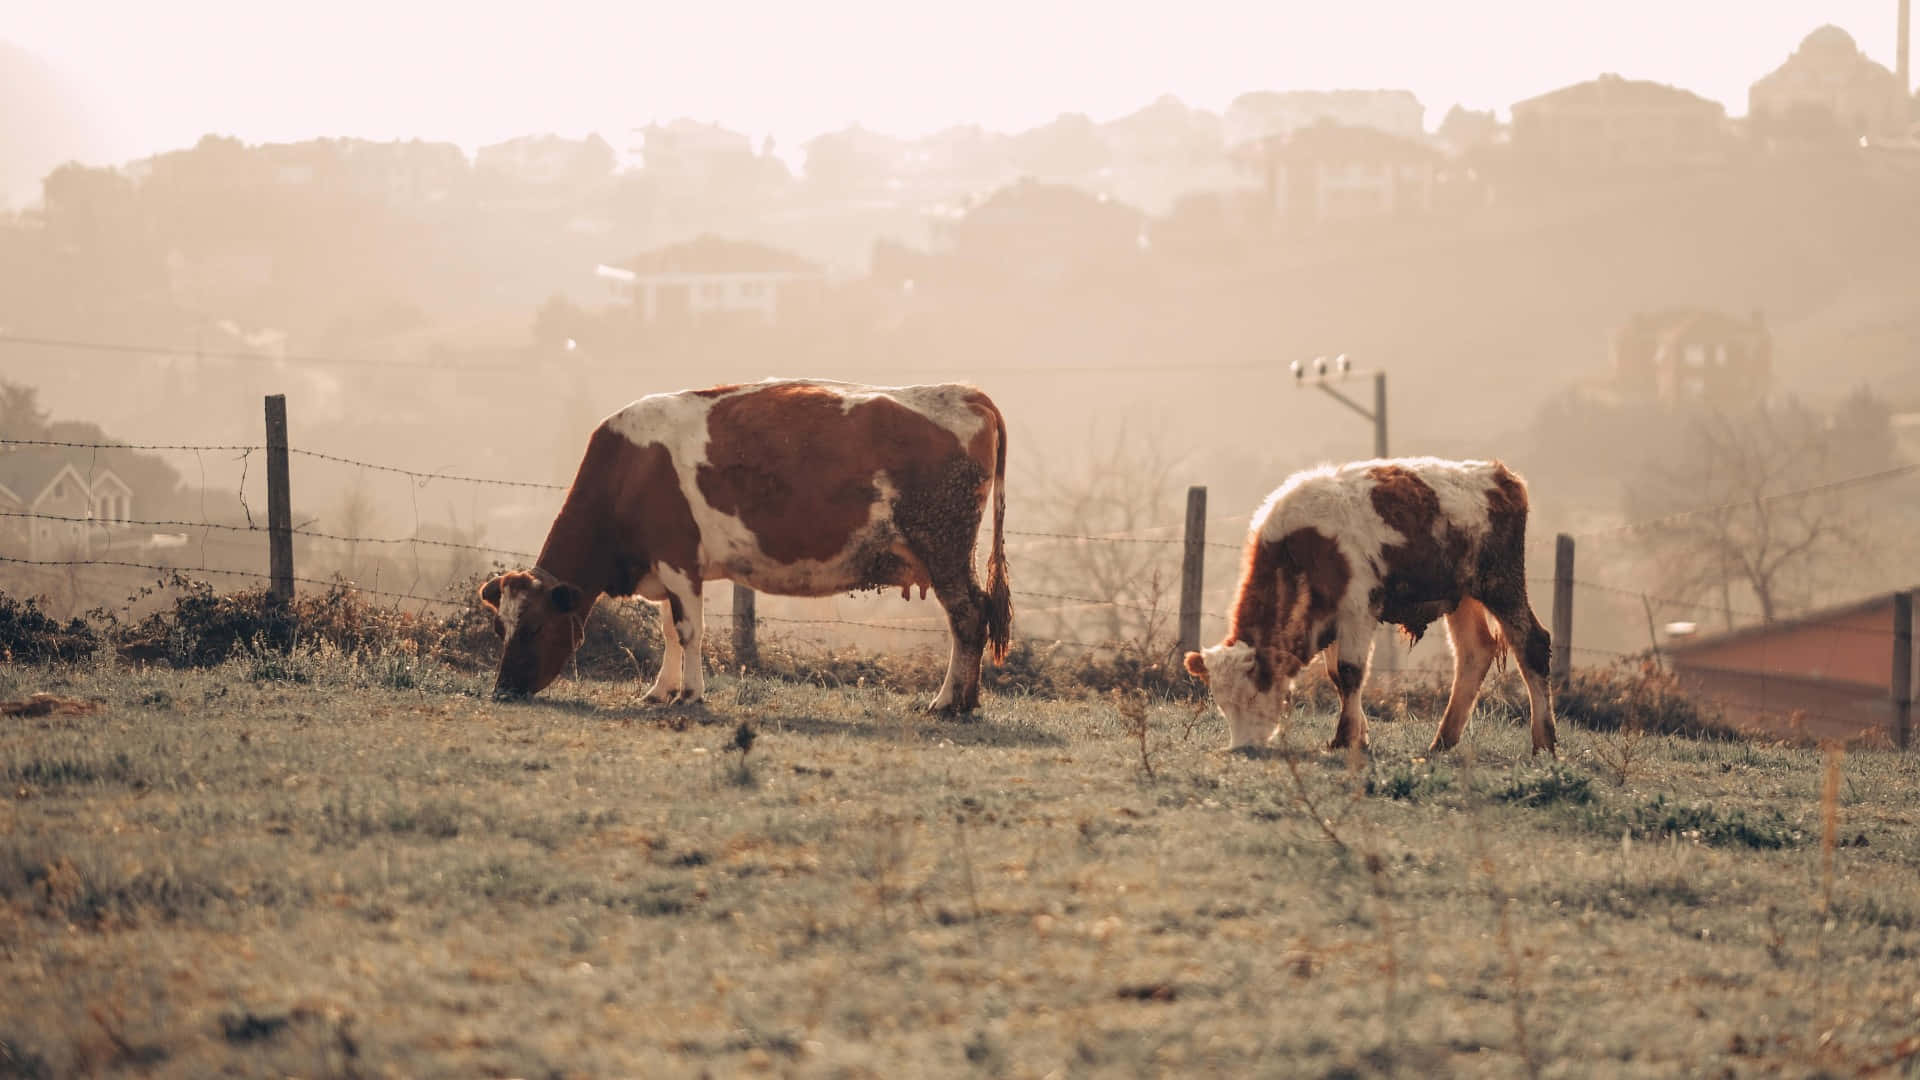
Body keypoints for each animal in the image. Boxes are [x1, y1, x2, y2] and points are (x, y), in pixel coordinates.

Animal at [478, 378, 1012, 713]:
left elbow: (689, 631)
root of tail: (963, 392)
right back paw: (966, 701)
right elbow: (668, 631)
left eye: (533, 627)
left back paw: (948, 702)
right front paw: (658, 691)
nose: (502, 690)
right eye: (500, 627)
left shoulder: (678, 561)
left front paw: (690, 694)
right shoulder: (665, 568)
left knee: (968, 616)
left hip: (943, 546)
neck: (631, 470)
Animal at [1183, 457, 1556, 756]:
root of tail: (1499, 474)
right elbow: (1337, 677)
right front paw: (1358, 737)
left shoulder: (1358, 609)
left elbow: (1351, 672)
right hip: (1462, 596)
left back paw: (1544, 742)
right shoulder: (1328, 617)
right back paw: (1442, 741)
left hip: (1501, 584)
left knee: (1532, 644)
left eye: (1251, 696)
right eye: (1222, 703)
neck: (1305, 546)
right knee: (1474, 653)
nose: (1242, 747)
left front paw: (1344, 739)